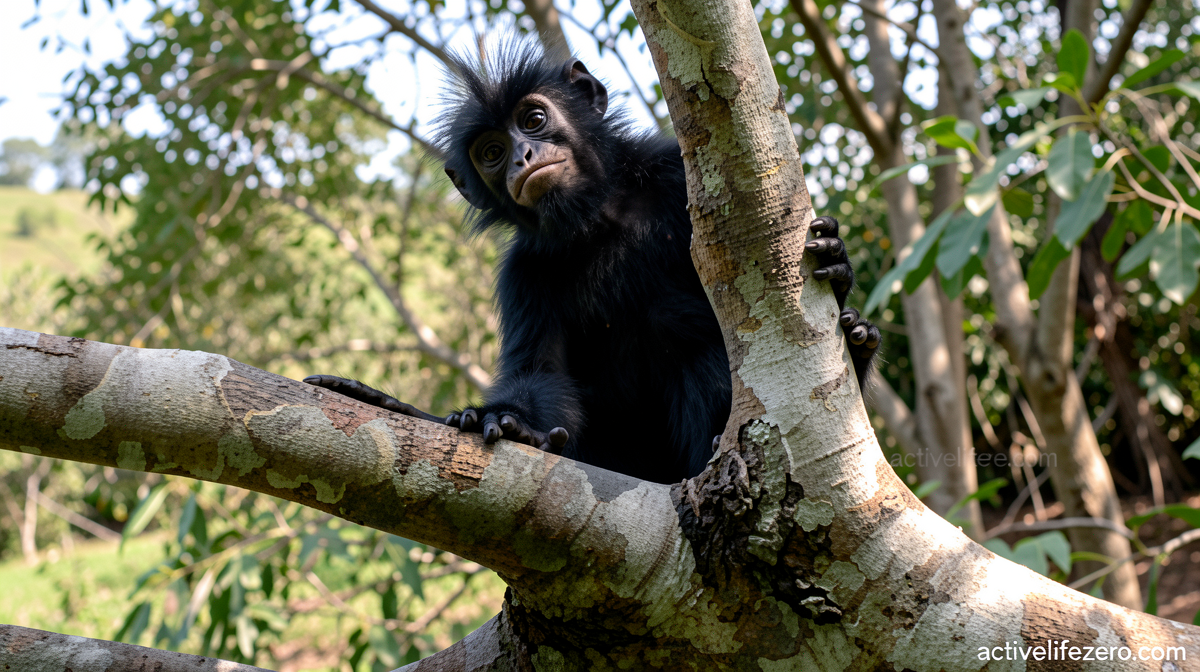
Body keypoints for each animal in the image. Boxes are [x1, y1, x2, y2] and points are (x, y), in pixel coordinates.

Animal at [307, 43, 881, 484]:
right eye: (491, 152)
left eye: (534, 120)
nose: (522, 156)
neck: (602, 218)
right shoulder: (524, 274)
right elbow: (541, 373)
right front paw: (508, 422)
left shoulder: (674, 177)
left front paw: (836, 264)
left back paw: (855, 340)